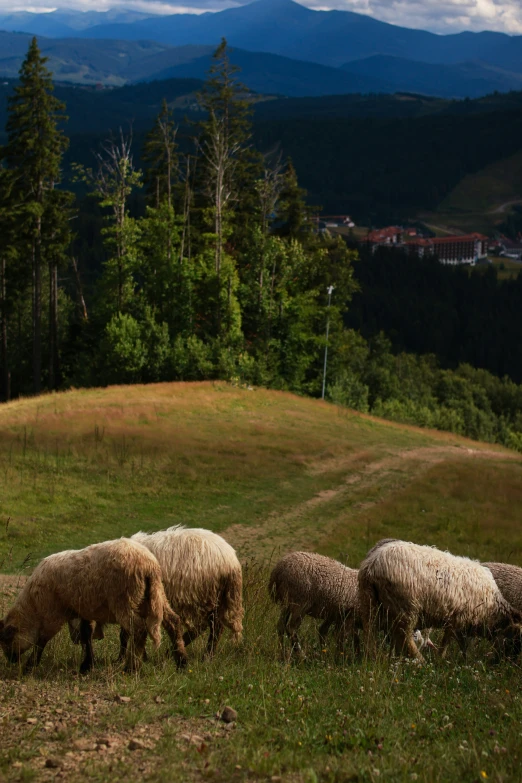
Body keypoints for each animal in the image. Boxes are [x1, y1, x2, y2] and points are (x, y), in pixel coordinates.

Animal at [0, 540, 187, 672]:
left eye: (6, 640)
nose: (11, 661)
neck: (33, 607)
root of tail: (149, 565)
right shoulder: (84, 610)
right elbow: (86, 635)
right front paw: (87, 664)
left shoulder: (53, 613)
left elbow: (42, 639)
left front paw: (30, 665)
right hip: (156, 595)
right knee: (173, 621)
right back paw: (181, 663)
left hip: (125, 600)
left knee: (139, 630)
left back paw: (131, 668)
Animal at [358, 540, 520, 660]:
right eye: (514, 639)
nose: (505, 663)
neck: (492, 609)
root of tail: (371, 566)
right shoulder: (458, 620)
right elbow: (449, 643)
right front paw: (441, 659)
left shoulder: (460, 623)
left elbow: (461, 645)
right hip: (406, 608)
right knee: (405, 638)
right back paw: (420, 662)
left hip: (369, 603)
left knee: (370, 634)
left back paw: (374, 657)